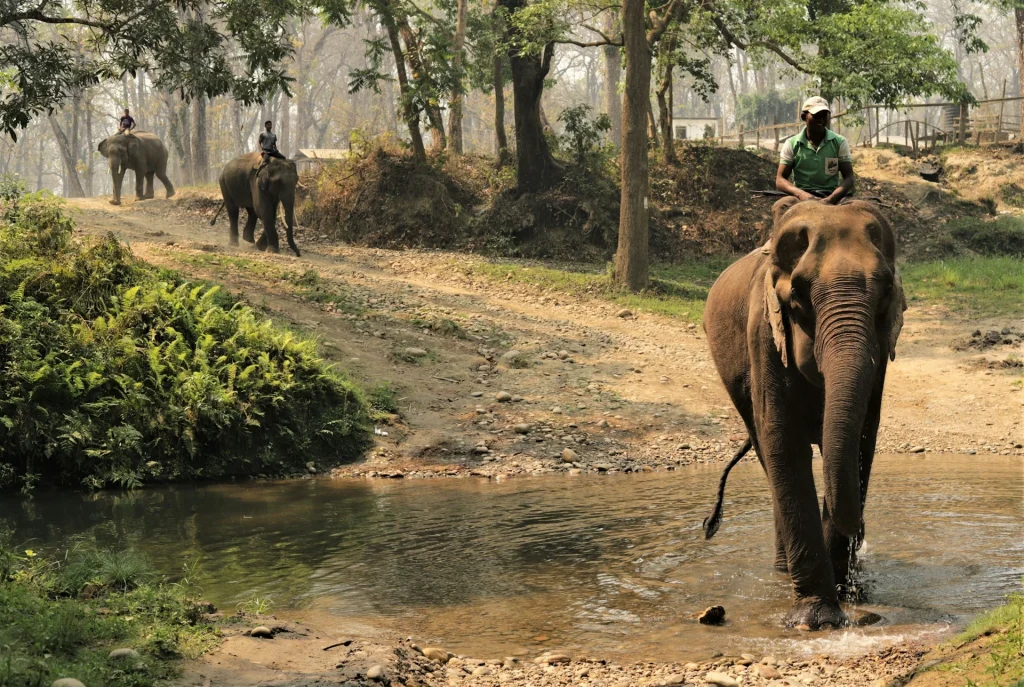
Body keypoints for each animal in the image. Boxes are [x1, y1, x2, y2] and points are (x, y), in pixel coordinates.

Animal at [700, 197, 906, 631]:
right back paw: (783, 571)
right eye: (797, 294)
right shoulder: (763, 334)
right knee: (766, 452)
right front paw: (816, 620)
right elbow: (784, 444)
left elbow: (860, 443)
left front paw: (845, 596)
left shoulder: (879, 362)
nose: (861, 534)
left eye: (885, 292)